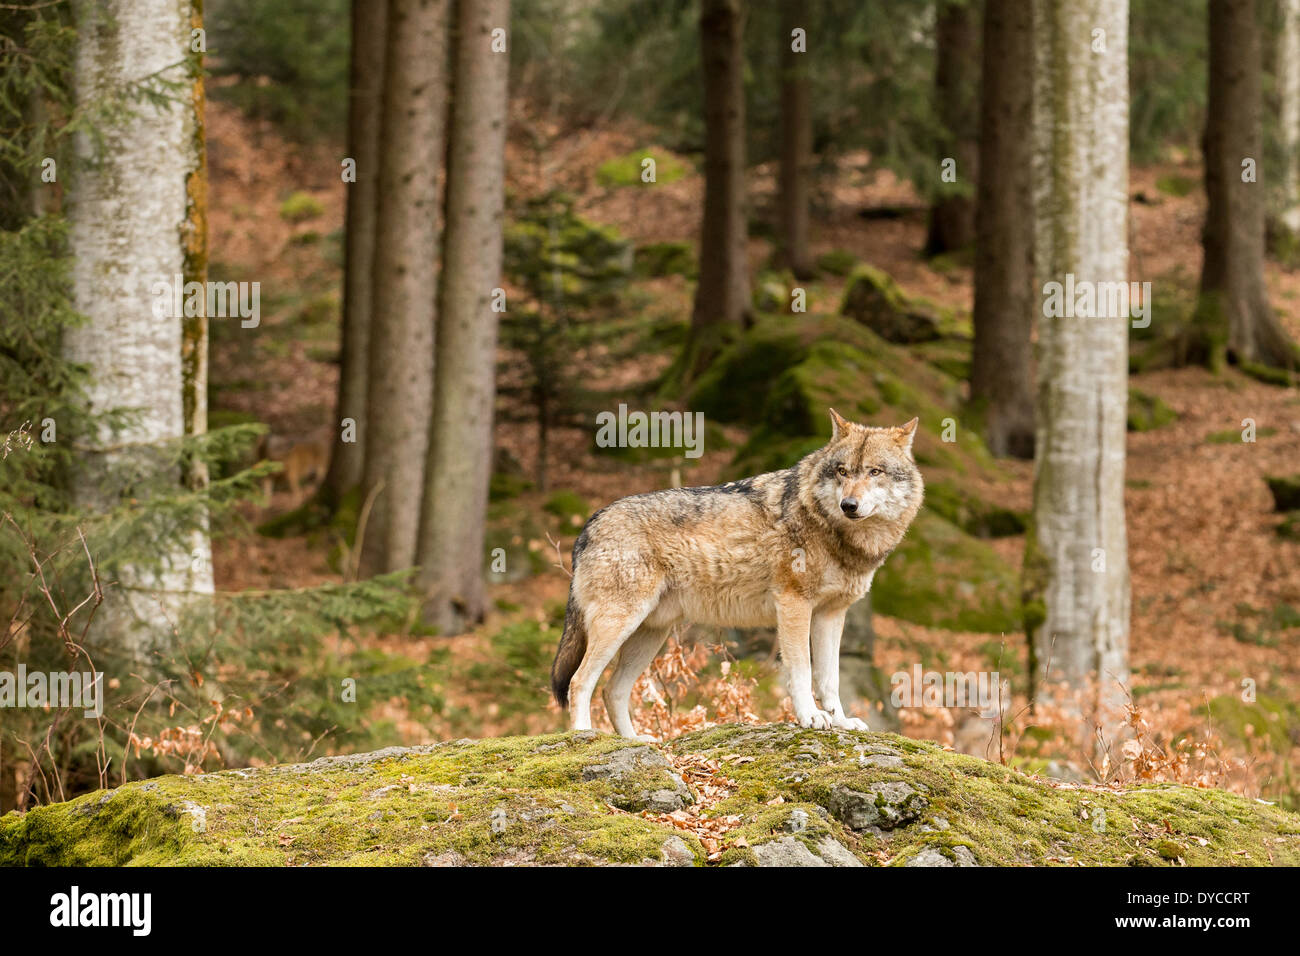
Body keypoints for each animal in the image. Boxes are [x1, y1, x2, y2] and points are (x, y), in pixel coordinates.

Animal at [548, 408, 925, 738]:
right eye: (843, 472)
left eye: (875, 472)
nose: (849, 505)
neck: (837, 533)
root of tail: (589, 524)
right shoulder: (793, 604)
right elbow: (801, 672)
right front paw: (810, 717)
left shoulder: (831, 615)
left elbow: (830, 679)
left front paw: (842, 722)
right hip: (620, 625)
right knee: (580, 682)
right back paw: (584, 737)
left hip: (650, 634)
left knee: (612, 690)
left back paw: (637, 742)